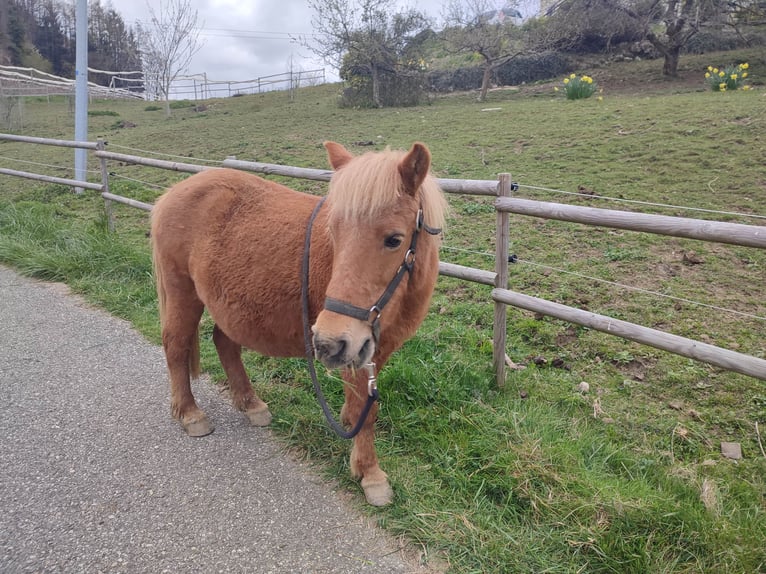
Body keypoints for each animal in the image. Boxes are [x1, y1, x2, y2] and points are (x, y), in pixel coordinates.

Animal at [150, 141, 447, 506]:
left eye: (394, 239)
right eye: (334, 233)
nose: (327, 342)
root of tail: (173, 192)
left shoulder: (373, 348)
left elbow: (364, 407)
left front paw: (350, 430)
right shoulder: (358, 349)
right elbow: (364, 410)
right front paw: (370, 473)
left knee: (224, 343)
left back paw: (251, 405)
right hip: (183, 294)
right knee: (176, 346)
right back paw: (190, 413)